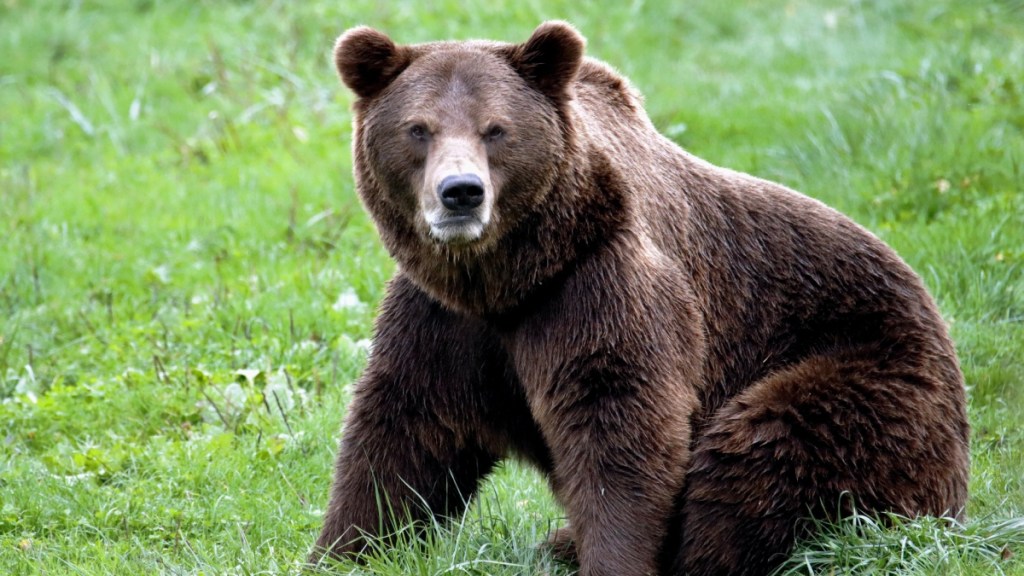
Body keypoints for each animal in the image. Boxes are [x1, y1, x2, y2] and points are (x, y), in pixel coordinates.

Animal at [310, 21, 970, 576]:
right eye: (417, 128)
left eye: (495, 129)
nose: (461, 193)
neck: (506, 279)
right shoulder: (446, 320)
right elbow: (404, 432)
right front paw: (341, 549)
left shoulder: (597, 285)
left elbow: (620, 423)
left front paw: (614, 558)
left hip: (868, 373)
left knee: (764, 452)